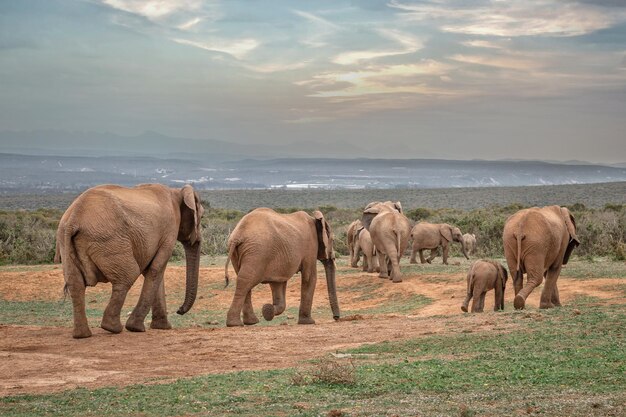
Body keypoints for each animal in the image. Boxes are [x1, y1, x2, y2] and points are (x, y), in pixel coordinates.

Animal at [54, 184, 202, 336]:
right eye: (201, 216)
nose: (179, 310)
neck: (177, 192)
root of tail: (73, 218)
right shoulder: (170, 230)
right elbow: (156, 269)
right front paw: (136, 328)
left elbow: (152, 271)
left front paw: (162, 327)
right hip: (109, 240)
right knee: (128, 276)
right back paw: (112, 327)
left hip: (65, 239)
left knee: (75, 284)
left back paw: (82, 335)